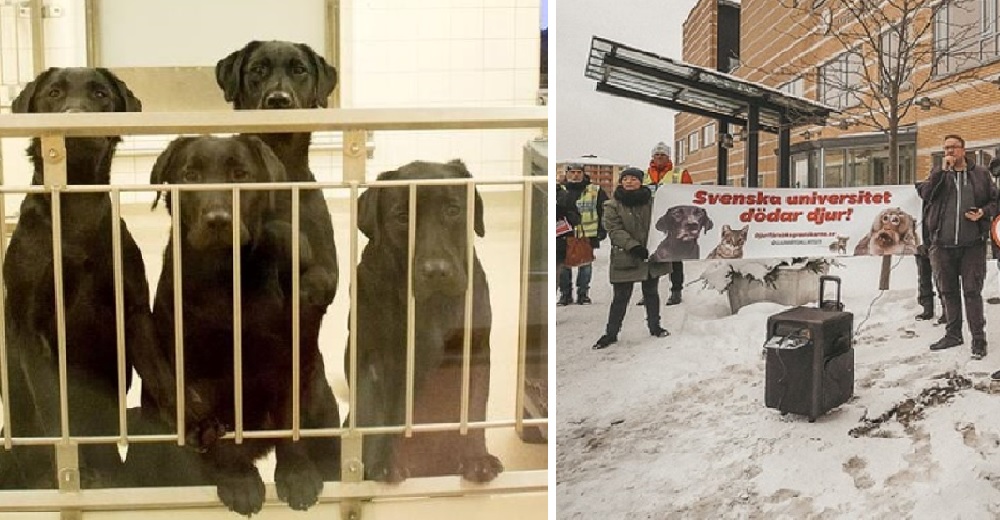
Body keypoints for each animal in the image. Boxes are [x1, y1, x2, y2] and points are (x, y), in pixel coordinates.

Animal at [1, 68, 176, 488]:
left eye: (100, 95)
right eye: (53, 93)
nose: (76, 117)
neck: (74, 207)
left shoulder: (133, 312)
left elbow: (161, 375)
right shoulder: (32, 331)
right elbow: (54, 410)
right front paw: (71, 472)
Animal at [142, 135, 340, 516]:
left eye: (241, 175)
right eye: (190, 176)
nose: (218, 219)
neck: (225, 277)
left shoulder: (287, 359)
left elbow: (290, 425)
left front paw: (297, 476)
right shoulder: (199, 375)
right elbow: (219, 434)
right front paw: (239, 481)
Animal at [354, 159, 508, 484]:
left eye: (452, 209)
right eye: (402, 217)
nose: (436, 271)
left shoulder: (474, 351)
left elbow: (473, 411)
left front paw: (477, 459)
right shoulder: (369, 358)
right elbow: (377, 417)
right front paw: (382, 464)